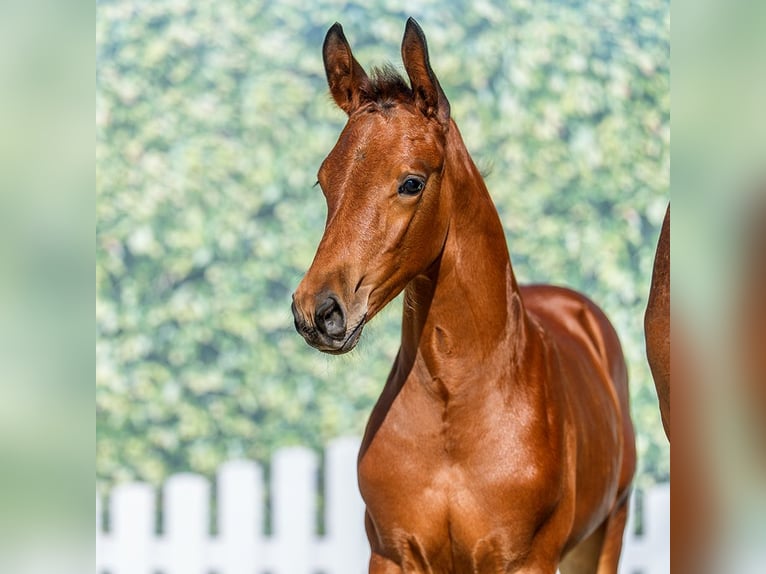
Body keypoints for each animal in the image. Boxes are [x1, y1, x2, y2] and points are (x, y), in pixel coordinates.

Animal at [292, 18, 636, 573]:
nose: (318, 312)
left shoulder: (525, 560)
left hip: (606, 533)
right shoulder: (391, 553)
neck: (454, 403)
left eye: (411, 182)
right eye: (324, 180)